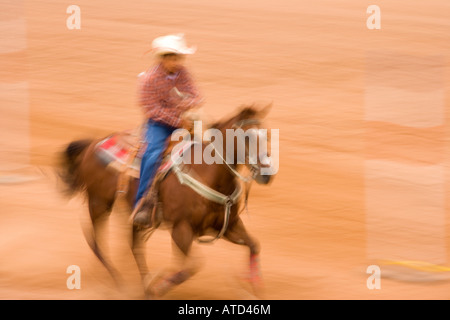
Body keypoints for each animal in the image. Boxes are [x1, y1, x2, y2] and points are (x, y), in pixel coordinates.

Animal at [58, 104, 276, 298]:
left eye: (267, 134)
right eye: (247, 137)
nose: (267, 175)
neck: (209, 173)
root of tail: (92, 144)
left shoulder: (229, 225)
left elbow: (254, 245)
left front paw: (256, 288)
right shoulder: (181, 229)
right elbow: (192, 267)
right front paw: (159, 287)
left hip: (131, 214)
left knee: (133, 246)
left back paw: (142, 284)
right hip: (99, 203)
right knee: (96, 241)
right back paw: (119, 282)